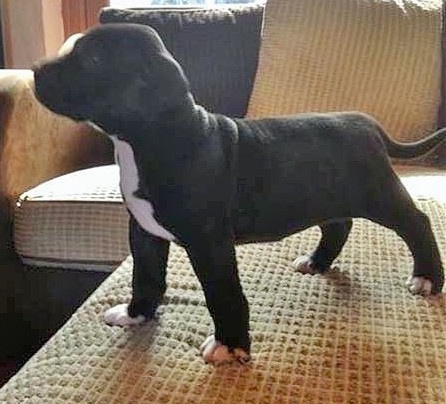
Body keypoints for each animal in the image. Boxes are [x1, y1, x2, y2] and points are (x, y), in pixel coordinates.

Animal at [34, 24, 446, 366]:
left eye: (93, 60)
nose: (36, 70)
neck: (158, 137)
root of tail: (368, 123)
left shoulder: (209, 242)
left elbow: (223, 293)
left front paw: (230, 346)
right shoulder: (145, 232)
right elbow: (146, 275)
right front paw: (136, 314)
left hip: (380, 196)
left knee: (417, 224)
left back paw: (428, 278)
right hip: (331, 196)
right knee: (338, 225)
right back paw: (317, 262)